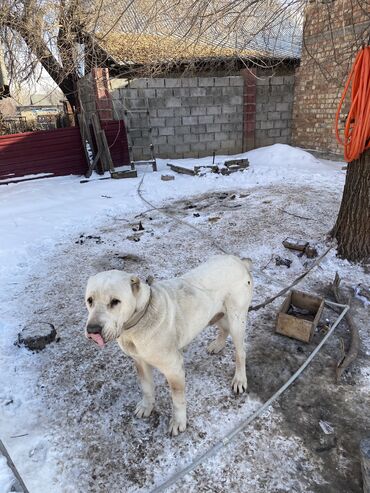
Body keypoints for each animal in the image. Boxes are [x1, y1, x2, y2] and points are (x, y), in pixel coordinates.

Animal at [84, 254, 253, 434]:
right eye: (90, 300)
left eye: (115, 301)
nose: (92, 330)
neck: (140, 318)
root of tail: (239, 261)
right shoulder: (140, 362)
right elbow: (147, 388)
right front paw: (147, 406)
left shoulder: (174, 368)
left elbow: (177, 399)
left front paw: (178, 422)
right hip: (216, 314)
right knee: (224, 329)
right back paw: (217, 345)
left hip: (237, 320)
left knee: (240, 352)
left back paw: (239, 379)